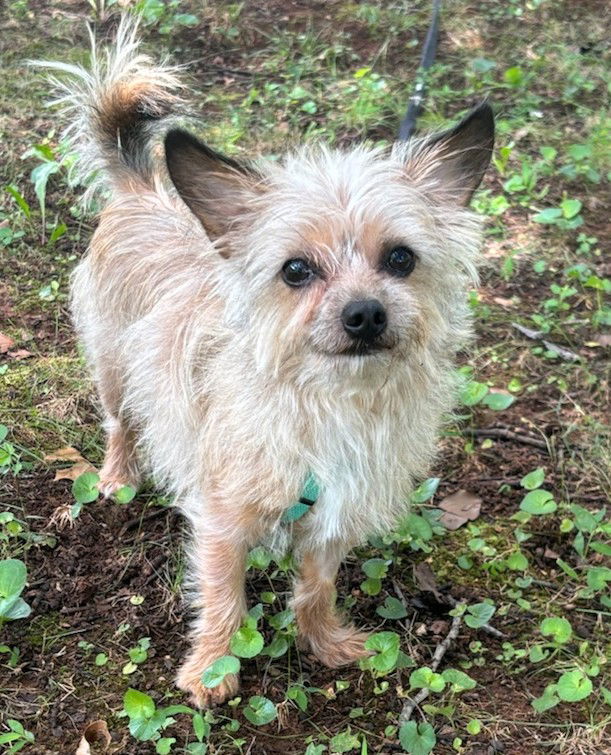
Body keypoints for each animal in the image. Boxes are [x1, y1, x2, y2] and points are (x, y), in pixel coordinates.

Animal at [41, 19, 492, 708]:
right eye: (296, 270)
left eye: (401, 259)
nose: (365, 314)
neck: (330, 401)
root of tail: (141, 190)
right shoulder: (221, 522)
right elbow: (223, 596)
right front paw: (211, 669)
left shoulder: (332, 519)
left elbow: (316, 588)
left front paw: (325, 642)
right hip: (112, 367)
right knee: (120, 424)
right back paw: (118, 479)